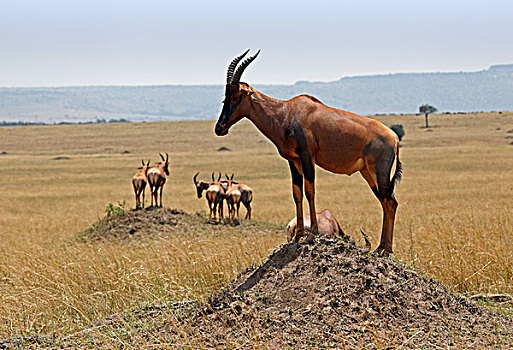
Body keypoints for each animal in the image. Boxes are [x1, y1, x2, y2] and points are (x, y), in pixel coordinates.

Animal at [214, 49, 402, 256]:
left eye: (236, 96)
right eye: (224, 97)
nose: (219, 128)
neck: (287, 112)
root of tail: (394, 137)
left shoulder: (307, 157)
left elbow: (310, 191)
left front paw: (311, 235)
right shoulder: (293, 161)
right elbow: (297, 193)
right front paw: (298, 236)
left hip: (380, 172)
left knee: (391, 202)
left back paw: (386, 249)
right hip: (367, 172)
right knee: (385, 201)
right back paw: (381, 248)